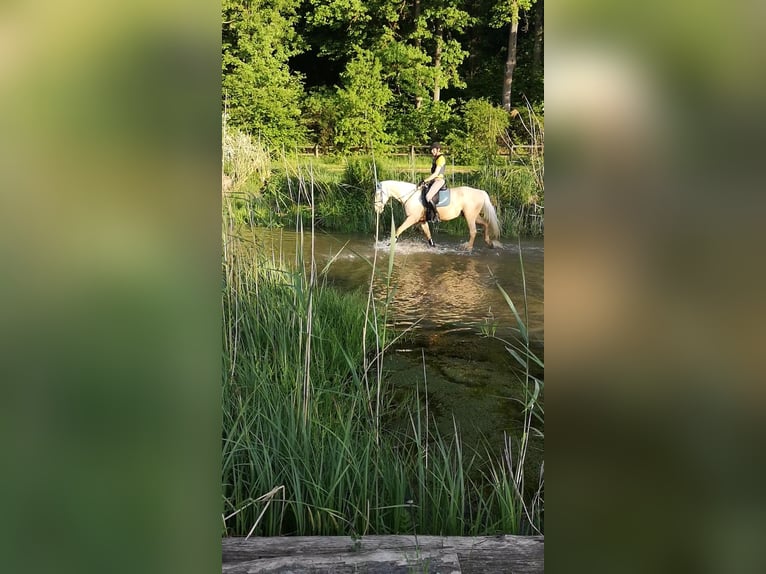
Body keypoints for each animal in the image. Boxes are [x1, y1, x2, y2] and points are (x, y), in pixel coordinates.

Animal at [374, 181, 504, 251]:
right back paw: (489, 243)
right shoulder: (421, 221)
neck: (410, 195)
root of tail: (481, 192)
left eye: (378, 194)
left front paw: (390, 244)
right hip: (472, 216)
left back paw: (468, 248)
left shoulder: (412, 218)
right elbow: (428, 235)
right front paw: (434, 247)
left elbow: (399, 229)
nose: (377, 209)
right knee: (486, 223)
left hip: (470, 216)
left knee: (473, 231)